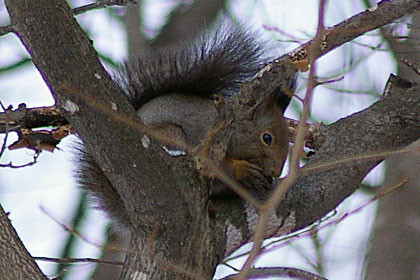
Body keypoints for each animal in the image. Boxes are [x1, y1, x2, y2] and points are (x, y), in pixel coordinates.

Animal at [77, 25, 296, 228]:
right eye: (267, 138)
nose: (276, 172)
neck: (233, 133)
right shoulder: (207, 138)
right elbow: (215, 167)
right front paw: (242, 171)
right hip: (171, 136)